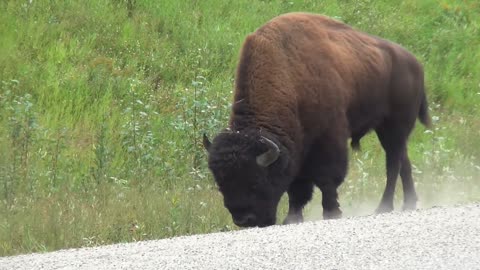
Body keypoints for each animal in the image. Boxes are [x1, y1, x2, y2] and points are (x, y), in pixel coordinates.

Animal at [202, 12, 432, 228]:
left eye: (256, 182)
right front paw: (291, 218)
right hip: (390, 131)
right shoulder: (297, 148)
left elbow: (326, 179)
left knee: (393, 165)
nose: (244, 220)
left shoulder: (328, 139)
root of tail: (416, 64)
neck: (288, 74)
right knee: (403, 162)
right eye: (220, 183)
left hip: (394, 126)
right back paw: (409, 203)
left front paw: (332, 213)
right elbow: (298, 188)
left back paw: (383, 207)